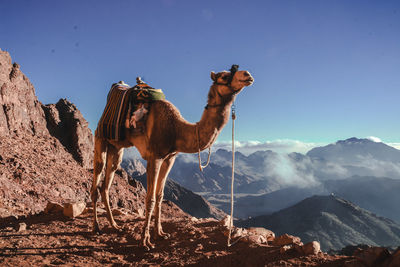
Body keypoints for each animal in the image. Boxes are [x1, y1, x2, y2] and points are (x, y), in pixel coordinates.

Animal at [90, 66, 253, 251]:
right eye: (224, 76)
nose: (247, 75)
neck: (177, 129)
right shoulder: (154, 157)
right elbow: (150, 198)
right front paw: (145, 241)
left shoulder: (170, 158)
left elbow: (160, 195)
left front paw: (160, 233)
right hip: (100, 138)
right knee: (96, 180)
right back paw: (96, 227)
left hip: (117, 147)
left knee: (107, 183)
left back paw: (114, 225)